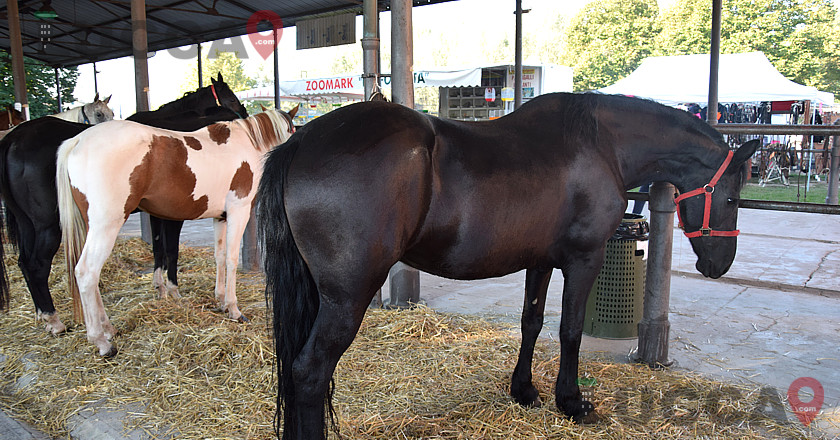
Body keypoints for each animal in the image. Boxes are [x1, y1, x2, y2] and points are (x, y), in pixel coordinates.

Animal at [0, 73, 248, 334]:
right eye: (231, 97)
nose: (244, 113)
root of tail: (13, 140)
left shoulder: (156, 213)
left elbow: (158, 248)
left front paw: (160, 288)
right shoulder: (173, 215)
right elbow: (171, 250)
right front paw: (173, 291)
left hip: (27, 224)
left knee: (25, 263)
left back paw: (43, 315)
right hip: (49, 226)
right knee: (38, 265)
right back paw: (54, 320)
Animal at [57, 110, 294, 358]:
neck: (247, 143)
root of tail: (77, 141)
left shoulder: (221, 217)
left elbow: (219, 257)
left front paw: (220, 300)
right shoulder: (239, 211)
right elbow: (231, 259)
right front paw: (233, 309)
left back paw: (109, 329)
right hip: (106, 226)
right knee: (87, 273)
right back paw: (101, 342)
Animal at [258, 91, 760, 438]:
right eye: (732, 199)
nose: (720, 264)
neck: (602, 145)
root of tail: (302, 141)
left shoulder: (540, 261)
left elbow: (531, 322)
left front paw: (525, 391)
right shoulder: (584, 259)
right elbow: (570, 330)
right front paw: (572, 402)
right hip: (347, 298)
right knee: (310, 372)